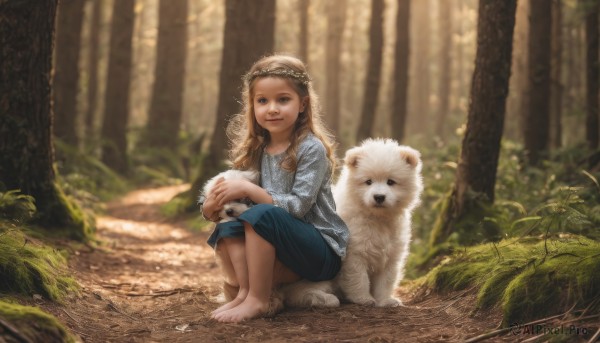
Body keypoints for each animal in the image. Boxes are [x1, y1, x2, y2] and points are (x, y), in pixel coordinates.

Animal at [284, 139, 424, 310]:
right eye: (368, 181)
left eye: (391, 182)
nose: (379, 197)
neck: (376, 219)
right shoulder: (354, 252)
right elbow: (359, 278)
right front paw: (364, 299)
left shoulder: (391, 254)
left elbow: (385, 281)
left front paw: (385, 300)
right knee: (297, 293)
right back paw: (324, 298)